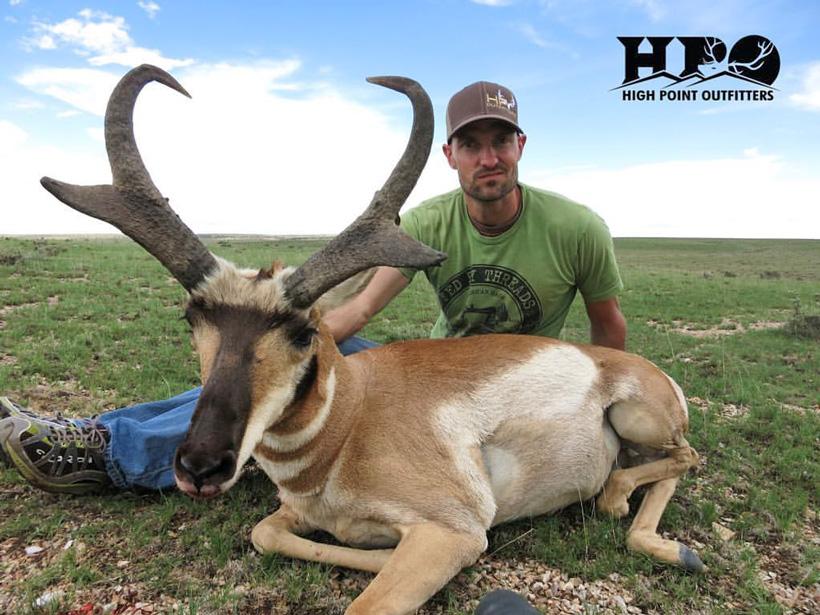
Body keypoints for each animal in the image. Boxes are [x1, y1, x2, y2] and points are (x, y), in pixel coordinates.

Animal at [42, 64, 703, 615]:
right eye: (191, 317)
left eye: (304, 330)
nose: (201, 465)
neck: (351, 417)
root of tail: (630, 364)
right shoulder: (293, 516)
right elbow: (266, 534)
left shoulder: (451, 533)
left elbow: (370, 598)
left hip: (637, 416)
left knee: (683, 458)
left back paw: (647, 526)